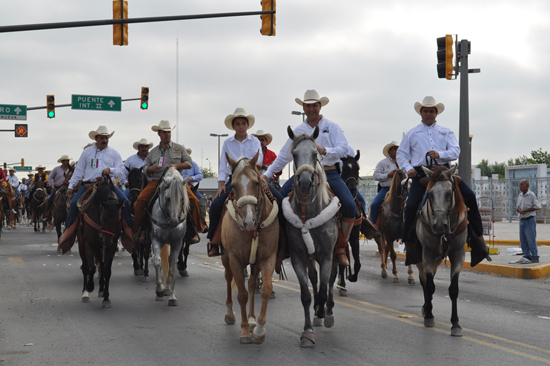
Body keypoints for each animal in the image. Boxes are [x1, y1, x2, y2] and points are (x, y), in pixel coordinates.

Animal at [76, 176, 124, 308]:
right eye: (103, 219)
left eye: (117, 220)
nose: (106, 242)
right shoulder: (88, 244)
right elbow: (91, 268)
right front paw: (89, 286)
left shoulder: (111, 246)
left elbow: (106, 271)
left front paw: (106, 297)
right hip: (83, 246)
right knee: (85, 266)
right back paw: (85, 293)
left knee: (101, 266)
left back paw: (101, 289)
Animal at [150, 168, 191, 306]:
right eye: (167, 199)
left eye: (182, 199)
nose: (174, 222)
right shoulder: (156, 239)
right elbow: (157, 262)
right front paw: (160, 289)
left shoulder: (177, 242)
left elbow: (172, 268)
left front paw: (172, 297)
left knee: (169, 261)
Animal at [221, 150, 280, 344]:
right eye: (233, 184)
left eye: (256, 182)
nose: (248, 221)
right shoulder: (235, 259)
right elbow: (242, 294)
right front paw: (245, 331)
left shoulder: (268, 258)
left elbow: (265, 289)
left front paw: (259, 329)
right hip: (225, 258)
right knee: (228, 279)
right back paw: (230, 314)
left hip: (254, 263)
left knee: (253, 284)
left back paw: (253, 319)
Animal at [284, 126, 340, 348]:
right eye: (294, 154)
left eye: (316, 154)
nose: (306, 182)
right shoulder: (298, 257)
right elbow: (306, 295)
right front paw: (307, 332)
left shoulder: (326, 255)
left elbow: (325, 288)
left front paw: (323, 311)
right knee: (315, 279)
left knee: (331, 280)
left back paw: (328, 312)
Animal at [418, 166, 470, 338]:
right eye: (429, 194)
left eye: (449, 193)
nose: (440, 225)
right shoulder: (427, 255)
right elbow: (429, 286)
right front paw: (429, 316)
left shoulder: (458, 255)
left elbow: (453, 290)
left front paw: (455, 324)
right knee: (424, 280)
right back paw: (427, 308)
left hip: (438, 259)